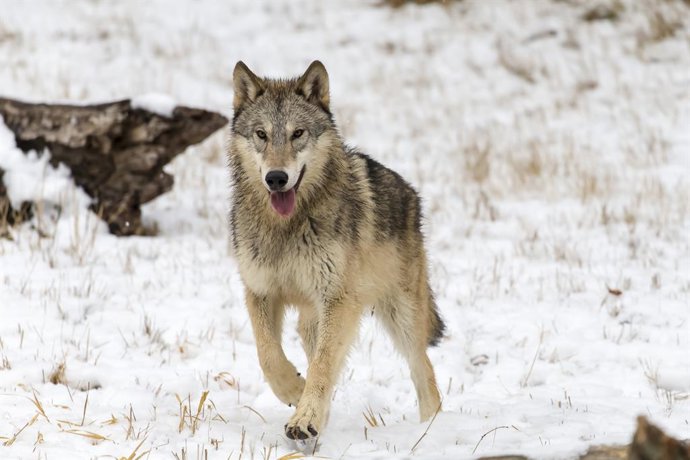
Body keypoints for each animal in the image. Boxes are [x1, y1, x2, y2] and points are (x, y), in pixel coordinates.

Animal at [228, 60, 444, 441]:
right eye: (261, 134)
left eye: (298, 133)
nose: (276, 178)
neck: (286, 227)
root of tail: (410, 193)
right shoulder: (260, 291)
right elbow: (268, 355)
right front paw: (294, 391)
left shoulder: (338, 300)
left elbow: (323, 365)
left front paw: (304, 417)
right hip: (313, 321)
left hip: (400, 315)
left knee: (423, 371)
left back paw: (430, 430)